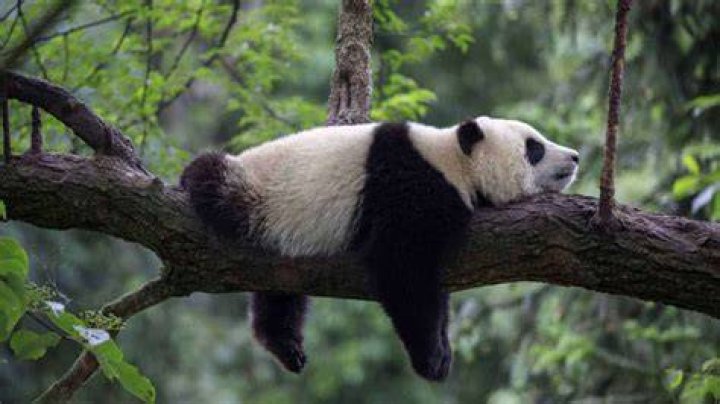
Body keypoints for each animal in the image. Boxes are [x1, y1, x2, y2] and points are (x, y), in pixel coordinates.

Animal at [180, 116, 579, 381]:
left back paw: (285, 345)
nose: (574, 156)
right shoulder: (408, 188)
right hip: (254, 191)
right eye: (534, 148)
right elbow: (403, 271)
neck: (452, 160)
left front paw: (443, 349)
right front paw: (431, 358)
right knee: (211, 177)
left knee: (280, 293)